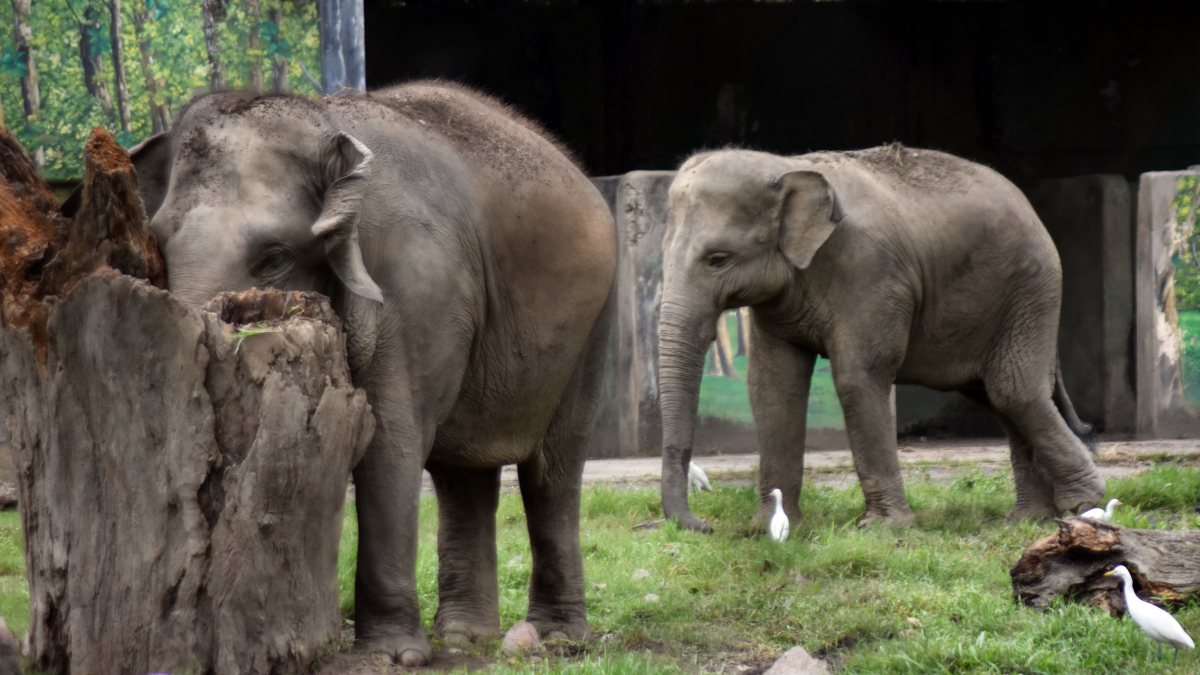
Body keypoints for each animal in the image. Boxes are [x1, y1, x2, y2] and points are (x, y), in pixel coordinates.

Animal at [122, 82, 616, 665]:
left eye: (273, 258)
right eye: (159, 244)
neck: (326, 127)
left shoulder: (417, 286)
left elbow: (391, 443)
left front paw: (391, 657)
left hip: (593, 322)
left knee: (552, 471)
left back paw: (556, 637)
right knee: (462, 475)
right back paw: (465, 638)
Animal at [657, 145, 1105, 532]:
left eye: (718, 259)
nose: (706, 525)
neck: (784, 165)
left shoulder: (871, 270)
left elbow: (858, 377)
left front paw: (882, 529)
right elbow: (772, 388)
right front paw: (770, 527)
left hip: (1031, 291)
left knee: (1014, 391)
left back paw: (1085, 504)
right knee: (998, 396)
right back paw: (1029, 518)